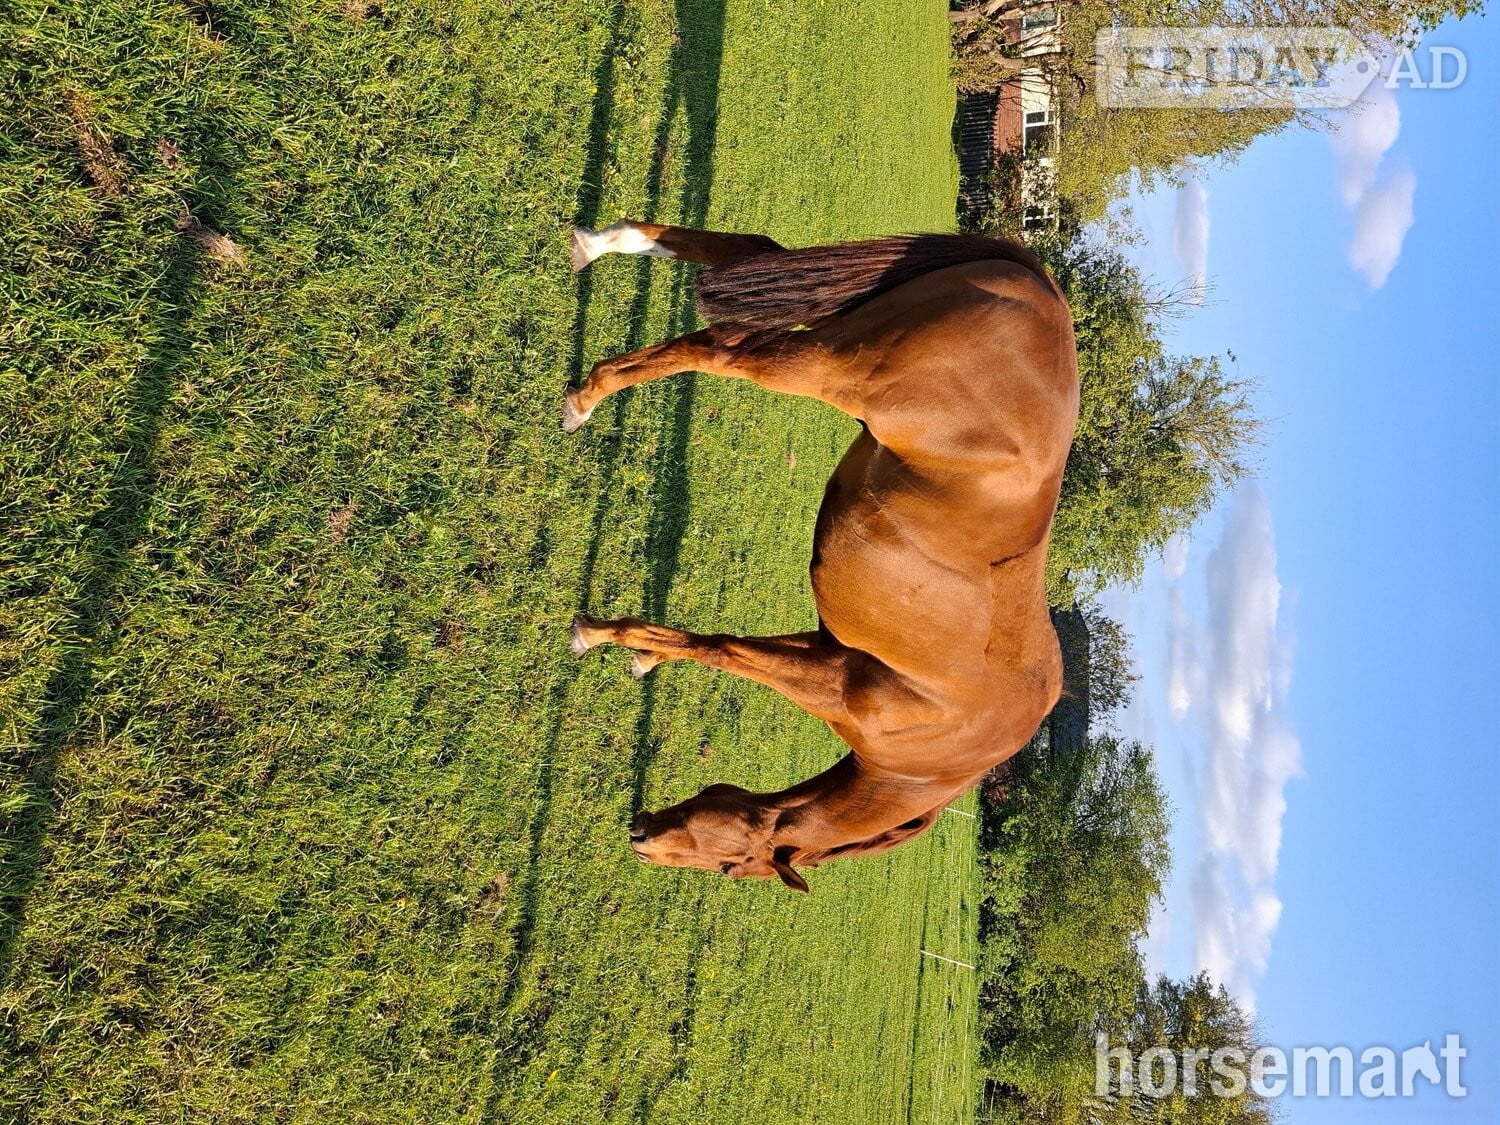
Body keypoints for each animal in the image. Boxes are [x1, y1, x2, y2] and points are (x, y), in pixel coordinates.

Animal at [565, 220, 1079, 892]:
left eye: (730, 866)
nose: (641, 836)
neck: (932, 757)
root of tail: (1040, 287)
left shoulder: (824, 651)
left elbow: (713, 643)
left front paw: (637, 651)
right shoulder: (828, 683)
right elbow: (721, 651)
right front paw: (599, 635)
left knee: (752, 258)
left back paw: (601, 246)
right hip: (829, 366)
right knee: (724, 349)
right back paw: (587, 396)